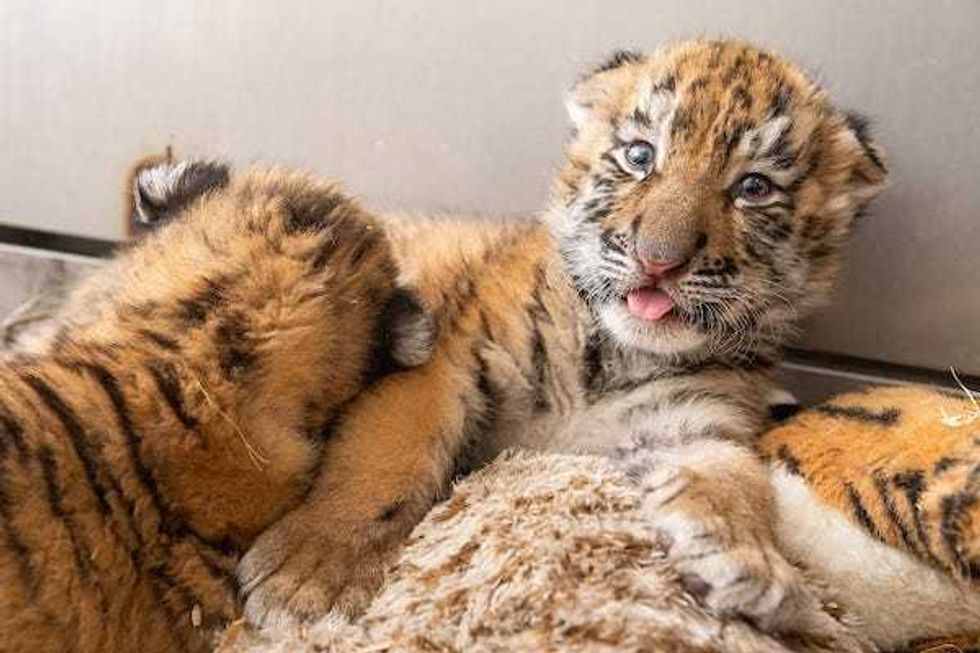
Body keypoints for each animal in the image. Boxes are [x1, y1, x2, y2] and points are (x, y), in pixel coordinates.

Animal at [238, 38, 888, 639]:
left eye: (754, 188)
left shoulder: (696, 419)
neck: (618, 359)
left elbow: (739, 476)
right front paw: (309, 574)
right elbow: (385, 456)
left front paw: (756, 566)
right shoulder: (443, 359)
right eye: (639, 155)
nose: (658, 261)